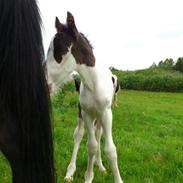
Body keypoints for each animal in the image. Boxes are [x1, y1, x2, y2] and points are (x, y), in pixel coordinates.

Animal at [45, 11, 123, 183]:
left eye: (60, 49)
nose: (44, 81)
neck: (93, 84)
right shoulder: (87, 114)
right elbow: (91, 146)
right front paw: (88, 177)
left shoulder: (106, 114)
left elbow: (109, 149)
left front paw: (114, 177)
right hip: (82, 113)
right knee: (79, 134)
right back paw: (70, 171)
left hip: (99, 117)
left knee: (98, 134)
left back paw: (100, 165)